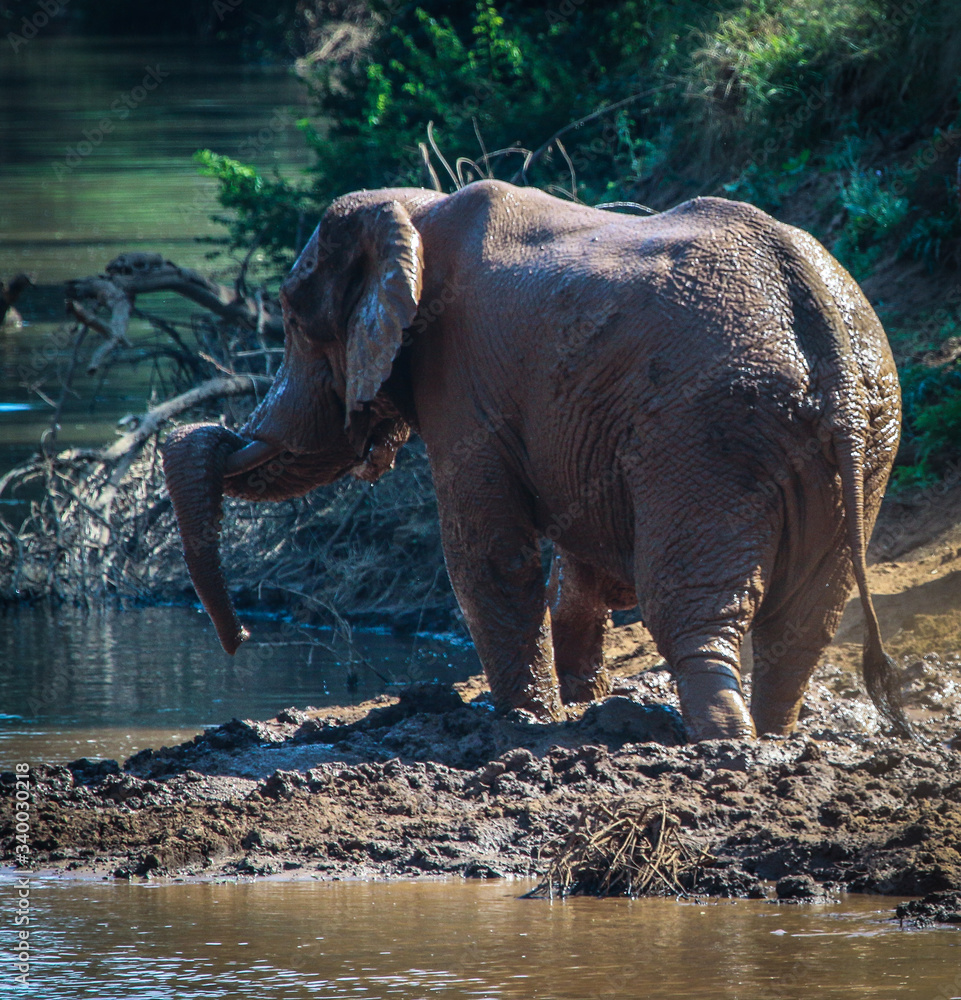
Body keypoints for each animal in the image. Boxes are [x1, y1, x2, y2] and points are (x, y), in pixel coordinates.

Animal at [161, 179, 912, 742]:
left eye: (291, 317)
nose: (240, 639)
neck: (415, 211)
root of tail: (820, 321)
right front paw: (575, 702)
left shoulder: (463, 378)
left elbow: (488, 552)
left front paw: (525, 719)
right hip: (866, 434)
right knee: (804, 615)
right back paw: (772, 734)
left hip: (706, 431)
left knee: (690, 601)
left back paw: (723, 742)